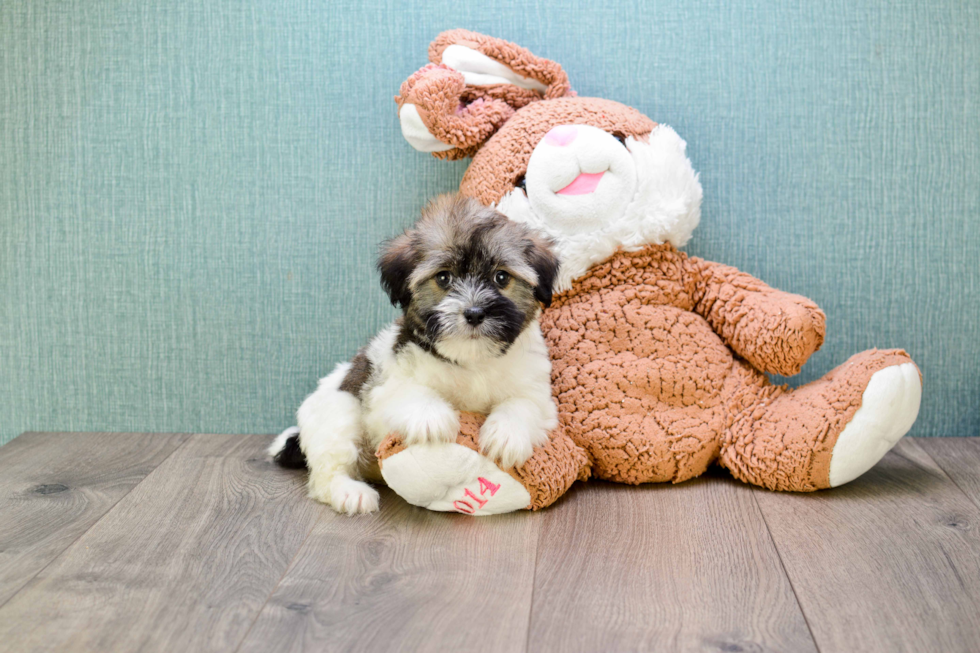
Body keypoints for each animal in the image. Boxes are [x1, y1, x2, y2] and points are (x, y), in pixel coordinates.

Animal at [266, 194, 560, 516]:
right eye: (443, 278)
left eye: (501, 277)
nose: (474, 312)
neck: (471, 362)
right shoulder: (384, 384)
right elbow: (408, 393)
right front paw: (433, 419)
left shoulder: (536, 389)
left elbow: (524, 404)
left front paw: (506, 434)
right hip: (338, 414)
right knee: (328, 471)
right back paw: (349, 492)